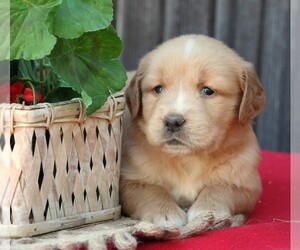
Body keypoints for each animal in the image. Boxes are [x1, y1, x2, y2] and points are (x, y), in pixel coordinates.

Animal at [119, 34, 264, 229]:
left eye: (208, 90)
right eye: (158, 89)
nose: (173, 121)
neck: (187, 157)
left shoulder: (245, 182)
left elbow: (219, 188)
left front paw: (208, 210)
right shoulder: (129, 179)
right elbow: (151, 189)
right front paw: (164, 214)